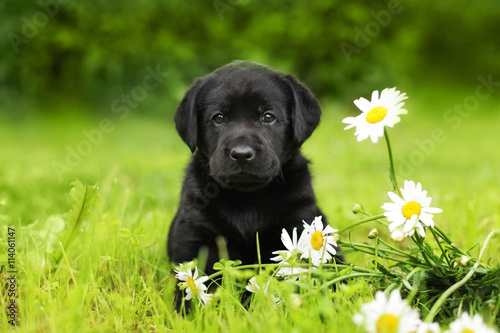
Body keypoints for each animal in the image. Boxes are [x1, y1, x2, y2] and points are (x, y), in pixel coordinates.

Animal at [169, 60, 340, 278]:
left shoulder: (298, 219)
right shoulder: (194, 231)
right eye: (218, 118)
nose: (242, 153)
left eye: (268, 116)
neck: (247, 198)